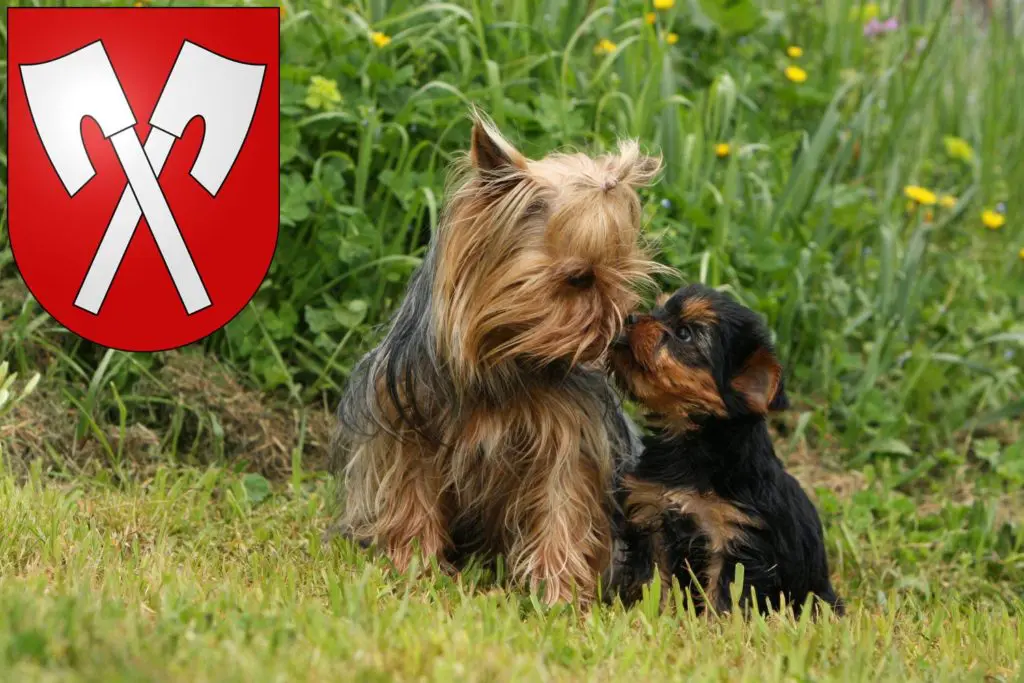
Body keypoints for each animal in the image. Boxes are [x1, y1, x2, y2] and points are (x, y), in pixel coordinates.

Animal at [331, 112, 659, 602]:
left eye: (623, 278)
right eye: (580, 278)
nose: (621, 328)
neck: (502, 357)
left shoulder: (570, 436)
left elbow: (562, 505)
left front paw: (557, 594)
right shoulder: (412, 419)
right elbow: (413, 494)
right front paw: (416, 567)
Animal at [606, 286, 839, 618]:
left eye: (684, 333)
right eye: (657, 310)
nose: (631, 318)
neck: (690, 441)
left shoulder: (735, 538)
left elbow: (724, 593)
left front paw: (715, 625)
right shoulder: (652, 517)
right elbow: (655, 579)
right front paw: (652, 615)